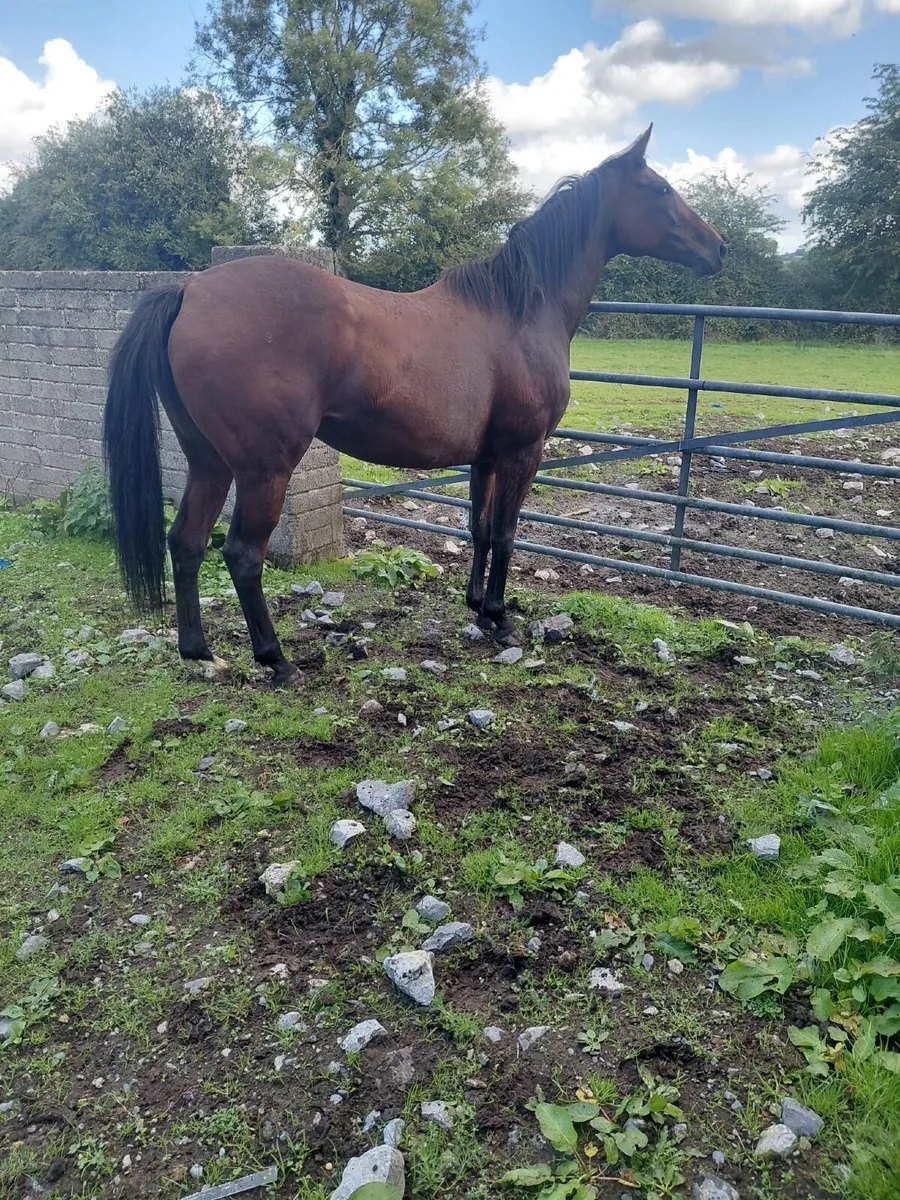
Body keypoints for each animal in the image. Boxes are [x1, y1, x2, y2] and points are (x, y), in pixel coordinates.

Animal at [103, 125, 725, 685]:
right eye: (661, 189)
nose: (718, 247)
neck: (518, 311)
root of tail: (190, 289)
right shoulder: (523, 452)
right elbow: (506, 533)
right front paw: (500, 619)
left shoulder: (485, 457)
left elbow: (479, 529)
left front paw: (478, 609)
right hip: (263, 470)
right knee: (241, 554)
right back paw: (275, 660)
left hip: (208, 461)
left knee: (185, 542)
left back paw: (200, 652)